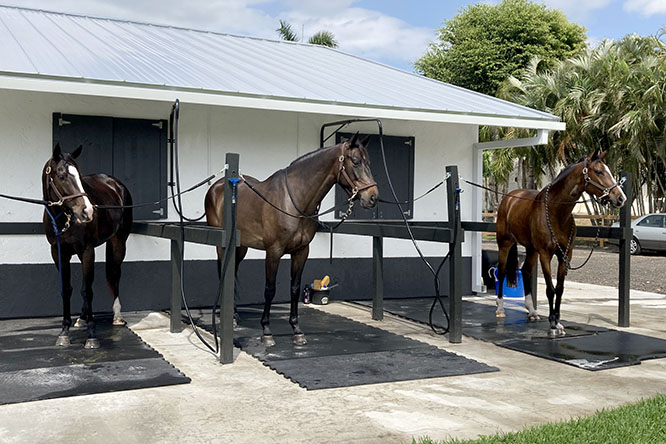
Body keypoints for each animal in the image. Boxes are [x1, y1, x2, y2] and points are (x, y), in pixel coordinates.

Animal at [42, 143, 133, 349]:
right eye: (62, 175)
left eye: (80, 176)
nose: (87, 211)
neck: (64, 218)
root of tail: (116, 184)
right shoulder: (59, 253)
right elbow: (67, 289)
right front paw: (64, 332)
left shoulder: (87, 251)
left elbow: (87, 290)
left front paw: (92, 336)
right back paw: (82, 318)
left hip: (118, 242)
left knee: (115, 274)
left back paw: (117, 315)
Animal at [205, 133, 379, 347]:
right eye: (355, 161)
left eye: (368, 162)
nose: (373, 197)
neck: (294, 201)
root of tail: (216, 187)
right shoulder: (274, 251)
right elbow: (270, 289)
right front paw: (267, 332)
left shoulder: (301, 251)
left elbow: (295, 288)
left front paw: (297, 330)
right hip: (222, 245)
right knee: (223, 272)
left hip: (242, 246)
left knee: (233, 272)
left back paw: (235, 315)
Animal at [495, 148, 626, 337]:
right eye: (599, 171)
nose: (620, 198)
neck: (556, 212)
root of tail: (510, 198)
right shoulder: (545, 254)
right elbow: (550, 289)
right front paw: (552, 324)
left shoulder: (565, 255)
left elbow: (560, 288)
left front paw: (558, 322)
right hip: (505, 243)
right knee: (502, 271)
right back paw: (500, 309)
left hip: (531, 249)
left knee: (526, 271)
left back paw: (532, 312)